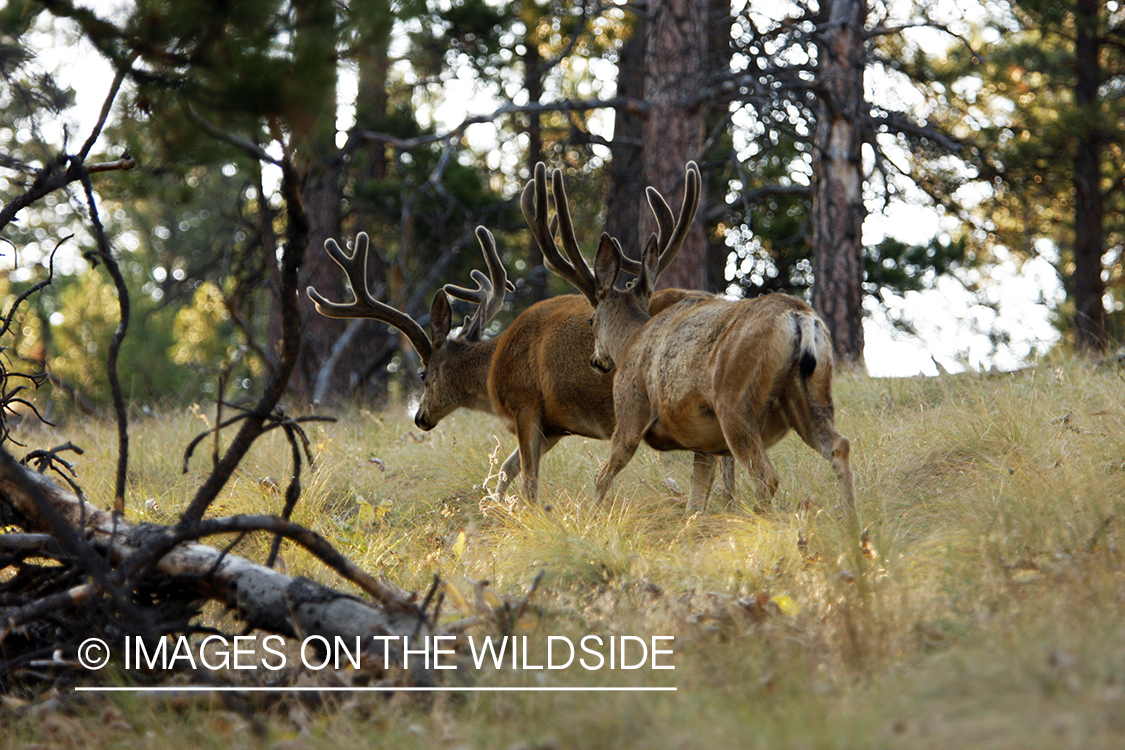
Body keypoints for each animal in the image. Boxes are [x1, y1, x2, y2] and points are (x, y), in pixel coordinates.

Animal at [305, 219, 734, 505]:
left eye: (424, 373)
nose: (420, 417)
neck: (494, 368)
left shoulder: (526, 404)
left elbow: (526, 479)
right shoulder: (557, 423)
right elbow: (506, 470)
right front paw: (496, 507)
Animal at [529, 160, 856, 514]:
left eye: (591, 321)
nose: (595, 360)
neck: (631, 339)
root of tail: (800, 317)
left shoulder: (629, 411)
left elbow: (603, 478)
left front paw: (589, 517)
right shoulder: (706, 445)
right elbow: (696, 502)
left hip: (735, 401)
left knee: (767, 476)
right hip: (811, 394)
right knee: (839, 446)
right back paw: (850, 524)